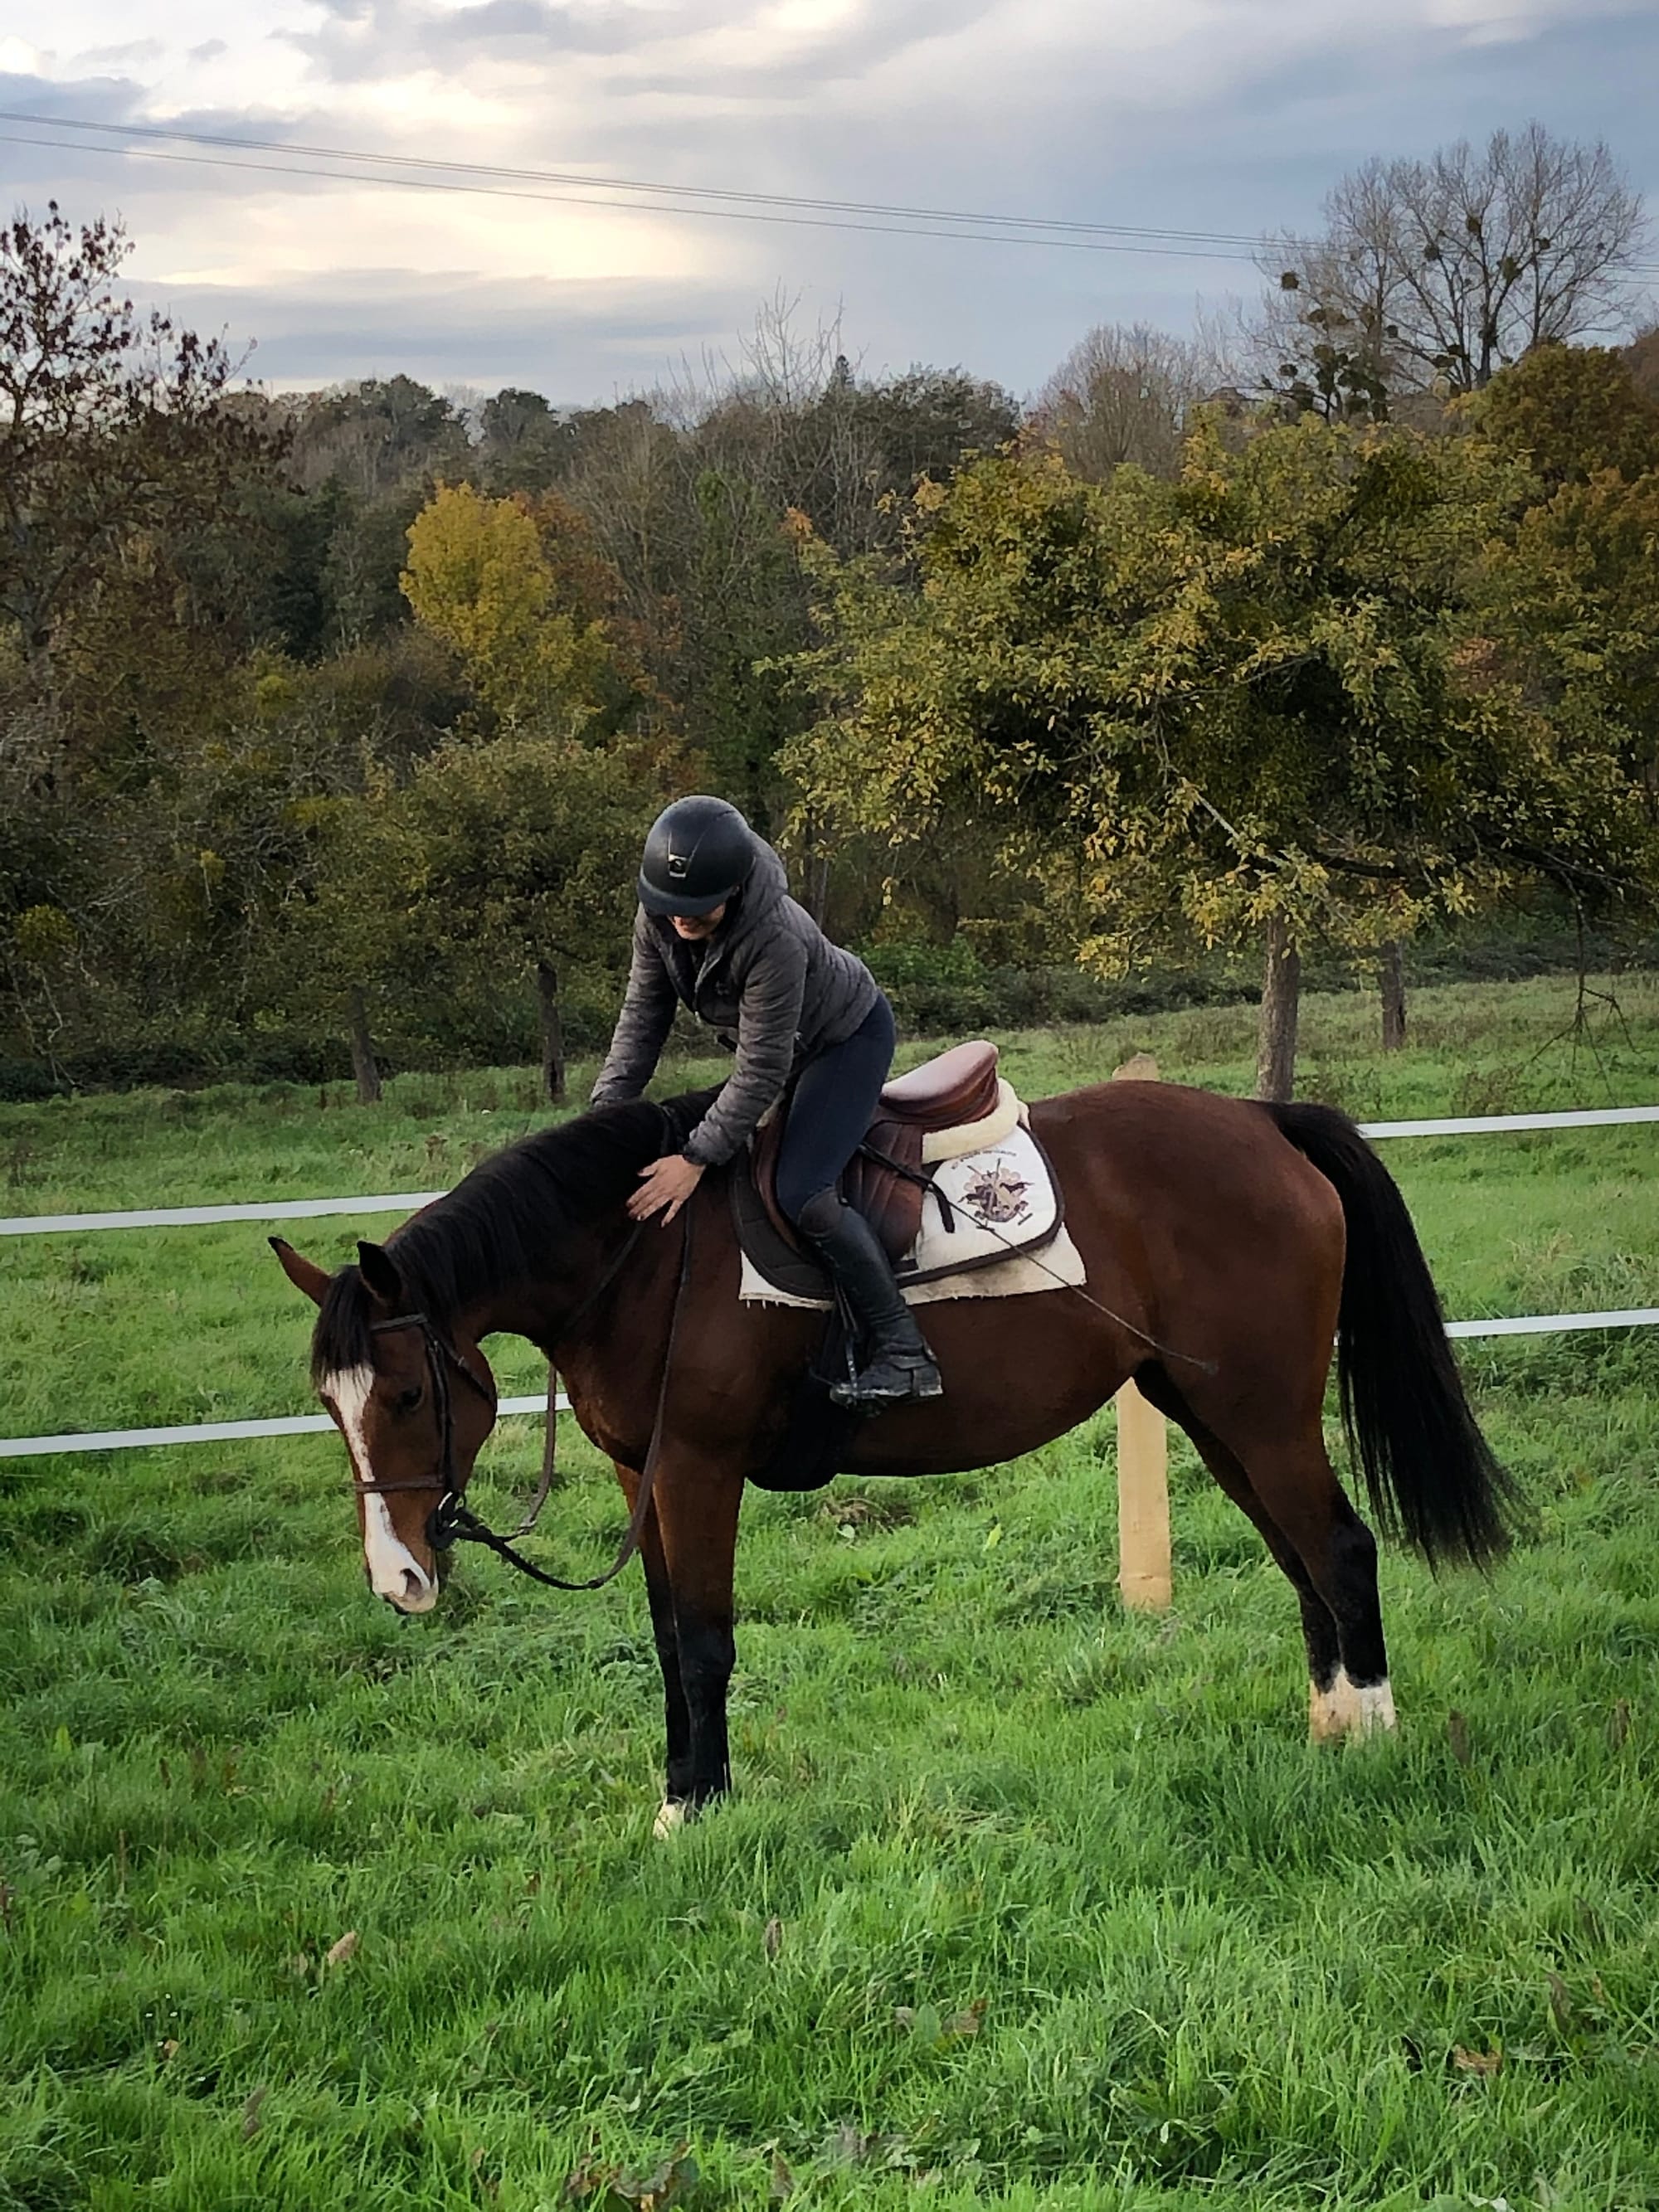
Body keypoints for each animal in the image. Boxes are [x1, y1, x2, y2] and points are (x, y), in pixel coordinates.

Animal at [270, 1075, 1521, 1831]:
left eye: (407, 1390)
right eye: (329, 1404)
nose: (398, 1578)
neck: (644, 1256)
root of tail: (1262, 1119)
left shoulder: (697, 1467)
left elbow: (705, 1643)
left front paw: (695, 1811)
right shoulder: (644, 1473)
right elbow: (669, 1641)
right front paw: (682, 1794)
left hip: (1259, 1412)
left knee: (1342, 1549)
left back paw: (1372, 1738)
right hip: (1213, 1417)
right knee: (1303, 1559)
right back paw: (1326, 1728)